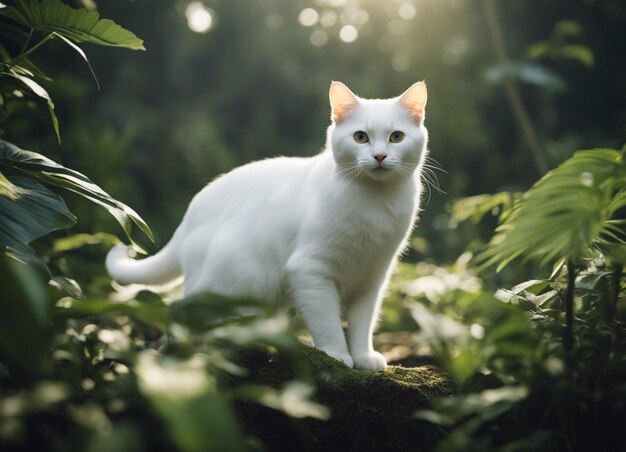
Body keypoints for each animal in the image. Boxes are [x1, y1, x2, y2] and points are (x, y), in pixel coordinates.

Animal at [108, 82, 428, 370]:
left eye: (396, 137)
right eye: (361, 137)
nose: (379, 156)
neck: (375, 203)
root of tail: (188, 218)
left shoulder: (371, 279)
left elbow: (362, 325)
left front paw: (363, 357)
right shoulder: (310, 272)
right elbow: (328, 323)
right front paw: (337, 356)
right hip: (231, 286)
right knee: (182, 310)